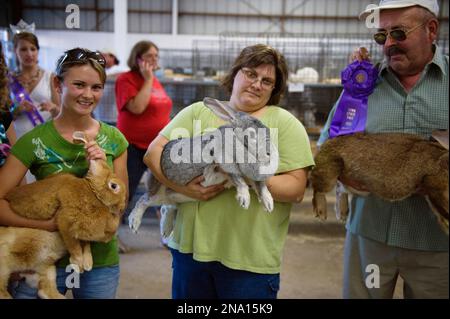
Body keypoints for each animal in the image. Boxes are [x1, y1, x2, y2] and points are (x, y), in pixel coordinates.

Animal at [128, 96, 280, 236]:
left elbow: (259, 184)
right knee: (143, 200)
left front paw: (268, 203)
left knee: (167, 206)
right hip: (157, 192)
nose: (269, 153)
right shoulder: (223, 164)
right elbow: (239, 180)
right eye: (251, 134)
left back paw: (166, 229)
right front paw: (244, 200)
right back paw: (134, 223)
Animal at [312, 131, 448, 234]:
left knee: (340, 190)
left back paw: (343, 213)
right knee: (318, 189)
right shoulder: (435, 187)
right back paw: (321, 212)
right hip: (330, 170)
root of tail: (327, 143)